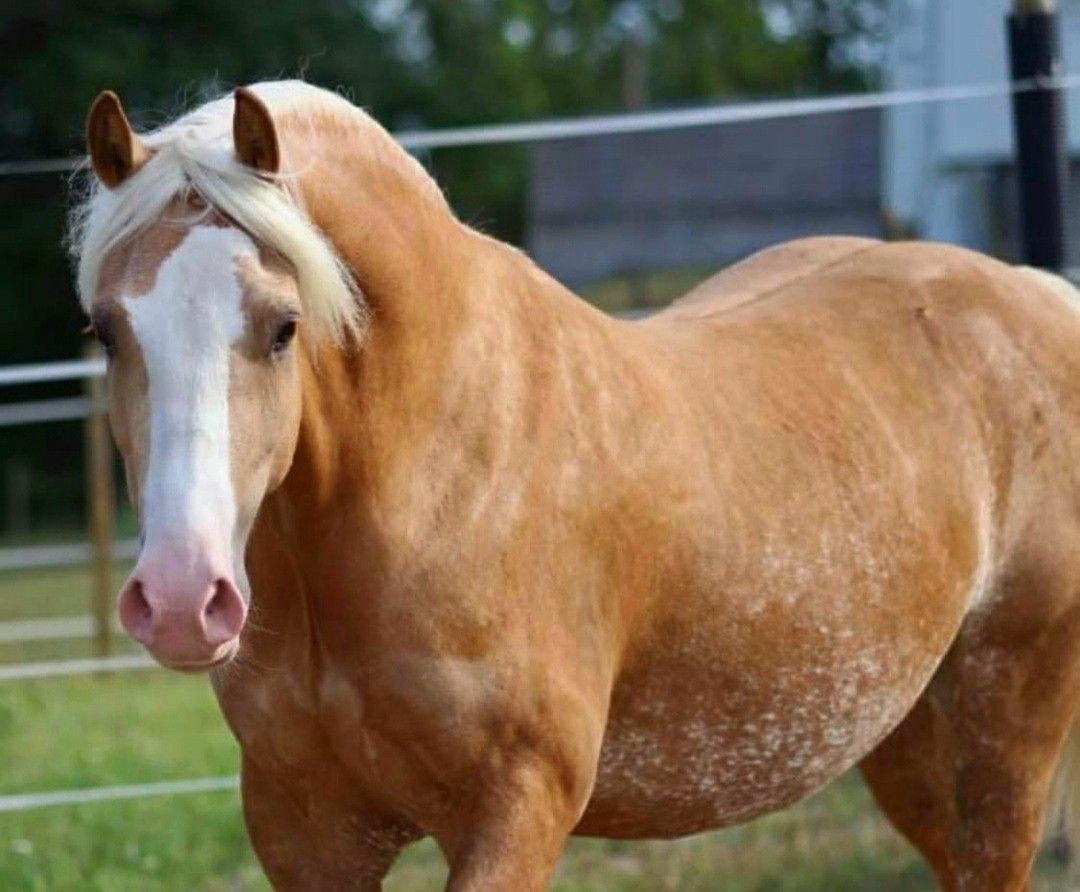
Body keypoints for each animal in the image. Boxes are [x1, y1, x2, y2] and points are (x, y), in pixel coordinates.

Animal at [70, 80, 1080, 891]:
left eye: (283, 325)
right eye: (104, 330)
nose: (180, 600)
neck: (433, 476)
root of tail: (1033, 293)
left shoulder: (516, 810)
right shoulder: (306, 827)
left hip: (1009, 714)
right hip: (903, 734)